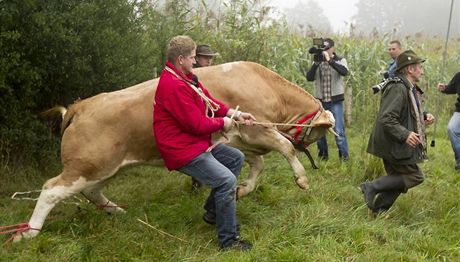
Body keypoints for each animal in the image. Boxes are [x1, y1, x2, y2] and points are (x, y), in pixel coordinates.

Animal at [12, 61, 332, 242]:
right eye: (319, 133)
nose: (314, 154)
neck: (265, 84)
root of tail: (82, 105)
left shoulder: (239, 140)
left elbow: (256, 164)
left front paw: (241, 190)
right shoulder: (258, 128)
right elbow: (284, 147)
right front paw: (302, 179)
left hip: (105, 167)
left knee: (90, 191)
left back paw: (116, 211)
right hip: (87, 165)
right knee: (51, 189)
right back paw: (29, 232)